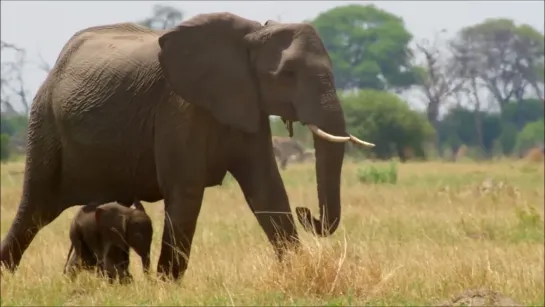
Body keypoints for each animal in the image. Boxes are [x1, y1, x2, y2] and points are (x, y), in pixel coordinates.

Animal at [0, 13, 372, 280]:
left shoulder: (247, 103)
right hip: (44, 122)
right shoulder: (177, 109)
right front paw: (167, 285)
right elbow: (187, 191)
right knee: (35, 207)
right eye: (288, 75)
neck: (250, 35)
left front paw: (297, 270)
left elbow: (266, 188)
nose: (308, 212)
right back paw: (9, 276)